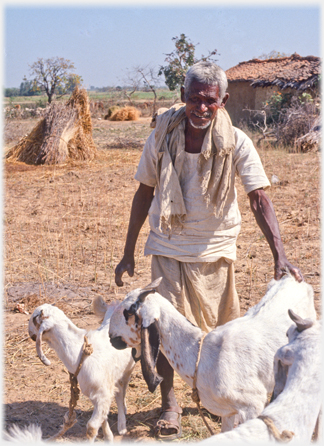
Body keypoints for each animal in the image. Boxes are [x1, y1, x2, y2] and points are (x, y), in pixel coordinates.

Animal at [27, 302, 135, 440]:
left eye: (34, 318)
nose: (30, 332)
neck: (79, 353)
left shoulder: (102, 393)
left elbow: (92, 428)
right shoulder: (95, 394)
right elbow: (103, 418)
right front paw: (108, 438)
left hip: (128, 367)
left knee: (124, 388)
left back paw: (122, 425)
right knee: (119, 391)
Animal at [107, 272, 316, 432]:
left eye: (128, 312)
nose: (111, 335)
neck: (202, 357)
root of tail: (292, 278)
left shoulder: (253, 405)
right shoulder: (229, 412)